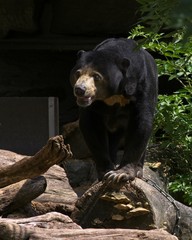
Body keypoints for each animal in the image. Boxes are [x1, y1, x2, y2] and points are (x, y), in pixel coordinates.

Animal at [70, 38, 158, 184]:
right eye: (77, 73)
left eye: (96, 76)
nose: (80, 90)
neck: (114, 95)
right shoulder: (93, 106)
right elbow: (91, 127)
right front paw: (105, 171)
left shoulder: (142, 86)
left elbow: (142, 123)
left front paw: (121, 174)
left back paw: (139, 171)